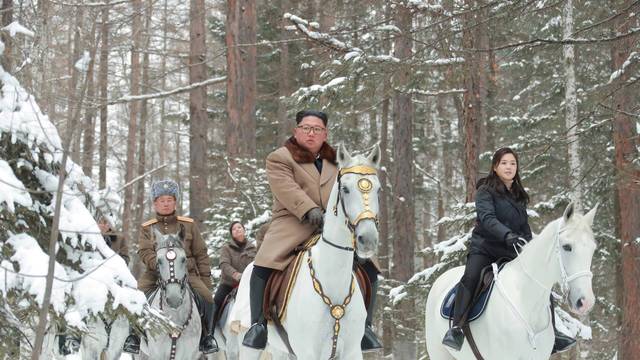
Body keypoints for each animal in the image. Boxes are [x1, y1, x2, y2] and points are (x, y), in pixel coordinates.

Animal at [234, 144, 380, 360]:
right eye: (345, 189)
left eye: (379, 189)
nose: (368, 239)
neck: (333, 283)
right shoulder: (308, 352)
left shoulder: (352, 352)